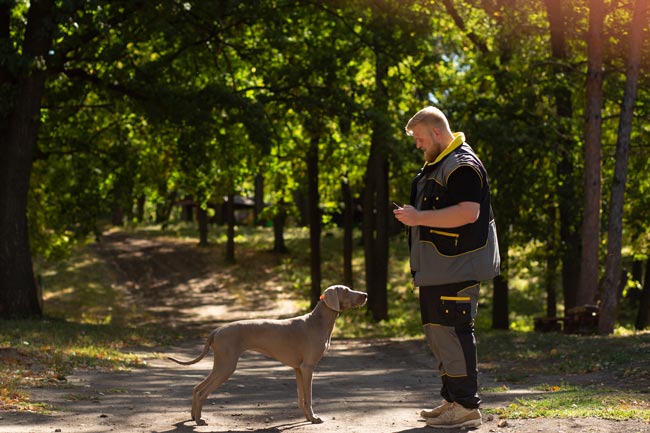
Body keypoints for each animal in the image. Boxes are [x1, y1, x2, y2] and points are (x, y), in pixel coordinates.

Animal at [167, 284, 368, 422]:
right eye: (346, 290)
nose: (365, 295)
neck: (318, 321)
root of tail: (217, 330)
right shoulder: (308, 367)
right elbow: (309, 397)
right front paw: (314, 418)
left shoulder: (298, 368)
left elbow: (301, 397)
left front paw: (306, 417)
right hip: (227, 365)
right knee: (203, 392)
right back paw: (199, 421)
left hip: (222, 364)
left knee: (196, 388)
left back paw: (193, 416)